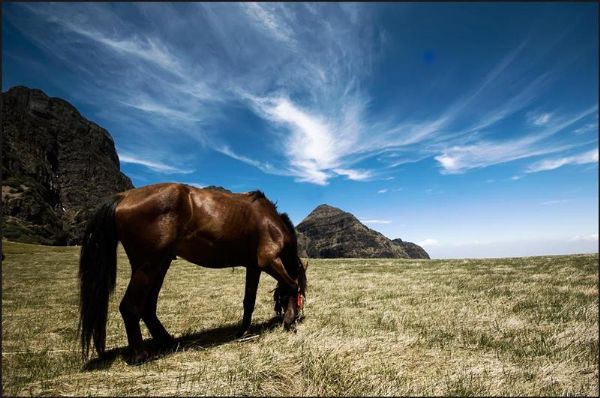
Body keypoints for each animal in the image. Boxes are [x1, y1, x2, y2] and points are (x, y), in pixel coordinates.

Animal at [78, 183, 308, 364]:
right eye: (302, 298)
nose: (299, 316)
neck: (270, 221)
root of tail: (124, 196)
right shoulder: (268, 261)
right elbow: (292, 284)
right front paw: (289, 321)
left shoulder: (253, 266)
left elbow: (248, 301)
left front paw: (243, 331)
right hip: (148, 265)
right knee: (130, 306)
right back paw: (140, 355)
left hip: (159, 265)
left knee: (148, 307)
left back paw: (169, 342)